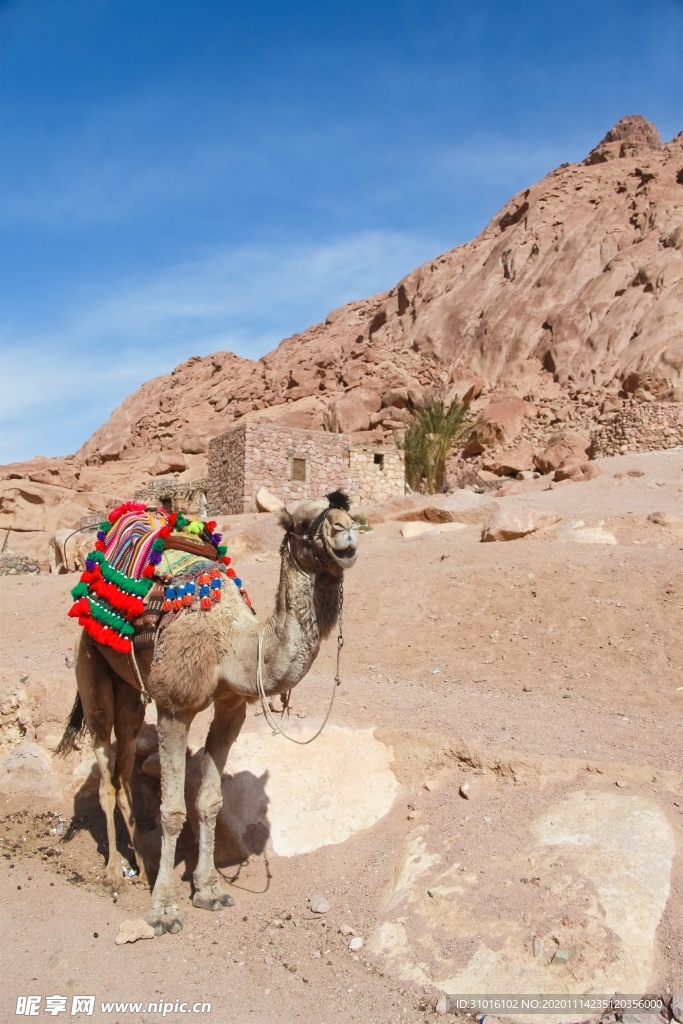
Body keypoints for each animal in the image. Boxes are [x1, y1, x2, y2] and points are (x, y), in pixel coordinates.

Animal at [59, 491, 360, 933]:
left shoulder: (231, 708)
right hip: (90, 664)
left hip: (131, 694)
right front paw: (163, 910)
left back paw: (144, 868)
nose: (346, 532)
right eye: (302, 523)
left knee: (125, 762)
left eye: (347, 511)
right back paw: (115, 872)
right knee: (104, 771)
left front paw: (209, 890)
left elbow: (210, 801)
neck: (231, 646)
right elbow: (172, 810)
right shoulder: (174, 707)